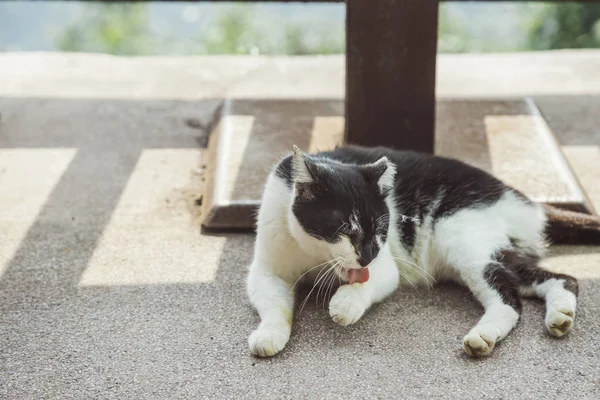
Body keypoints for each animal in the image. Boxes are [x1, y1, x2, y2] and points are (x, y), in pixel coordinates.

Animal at [246, 145, 596, 358]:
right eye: (346, 228)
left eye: (381, 228)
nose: (367, 255)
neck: (314, 255)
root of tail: (521, 198)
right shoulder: (265, 269)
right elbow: (275, 303)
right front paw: (269, 335)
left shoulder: (386, 265)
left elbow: (369, 283)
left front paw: (345, 304)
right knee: (559, 277)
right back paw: (560, 315)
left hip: (461, 237)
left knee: (509, 298)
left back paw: (483, 336)